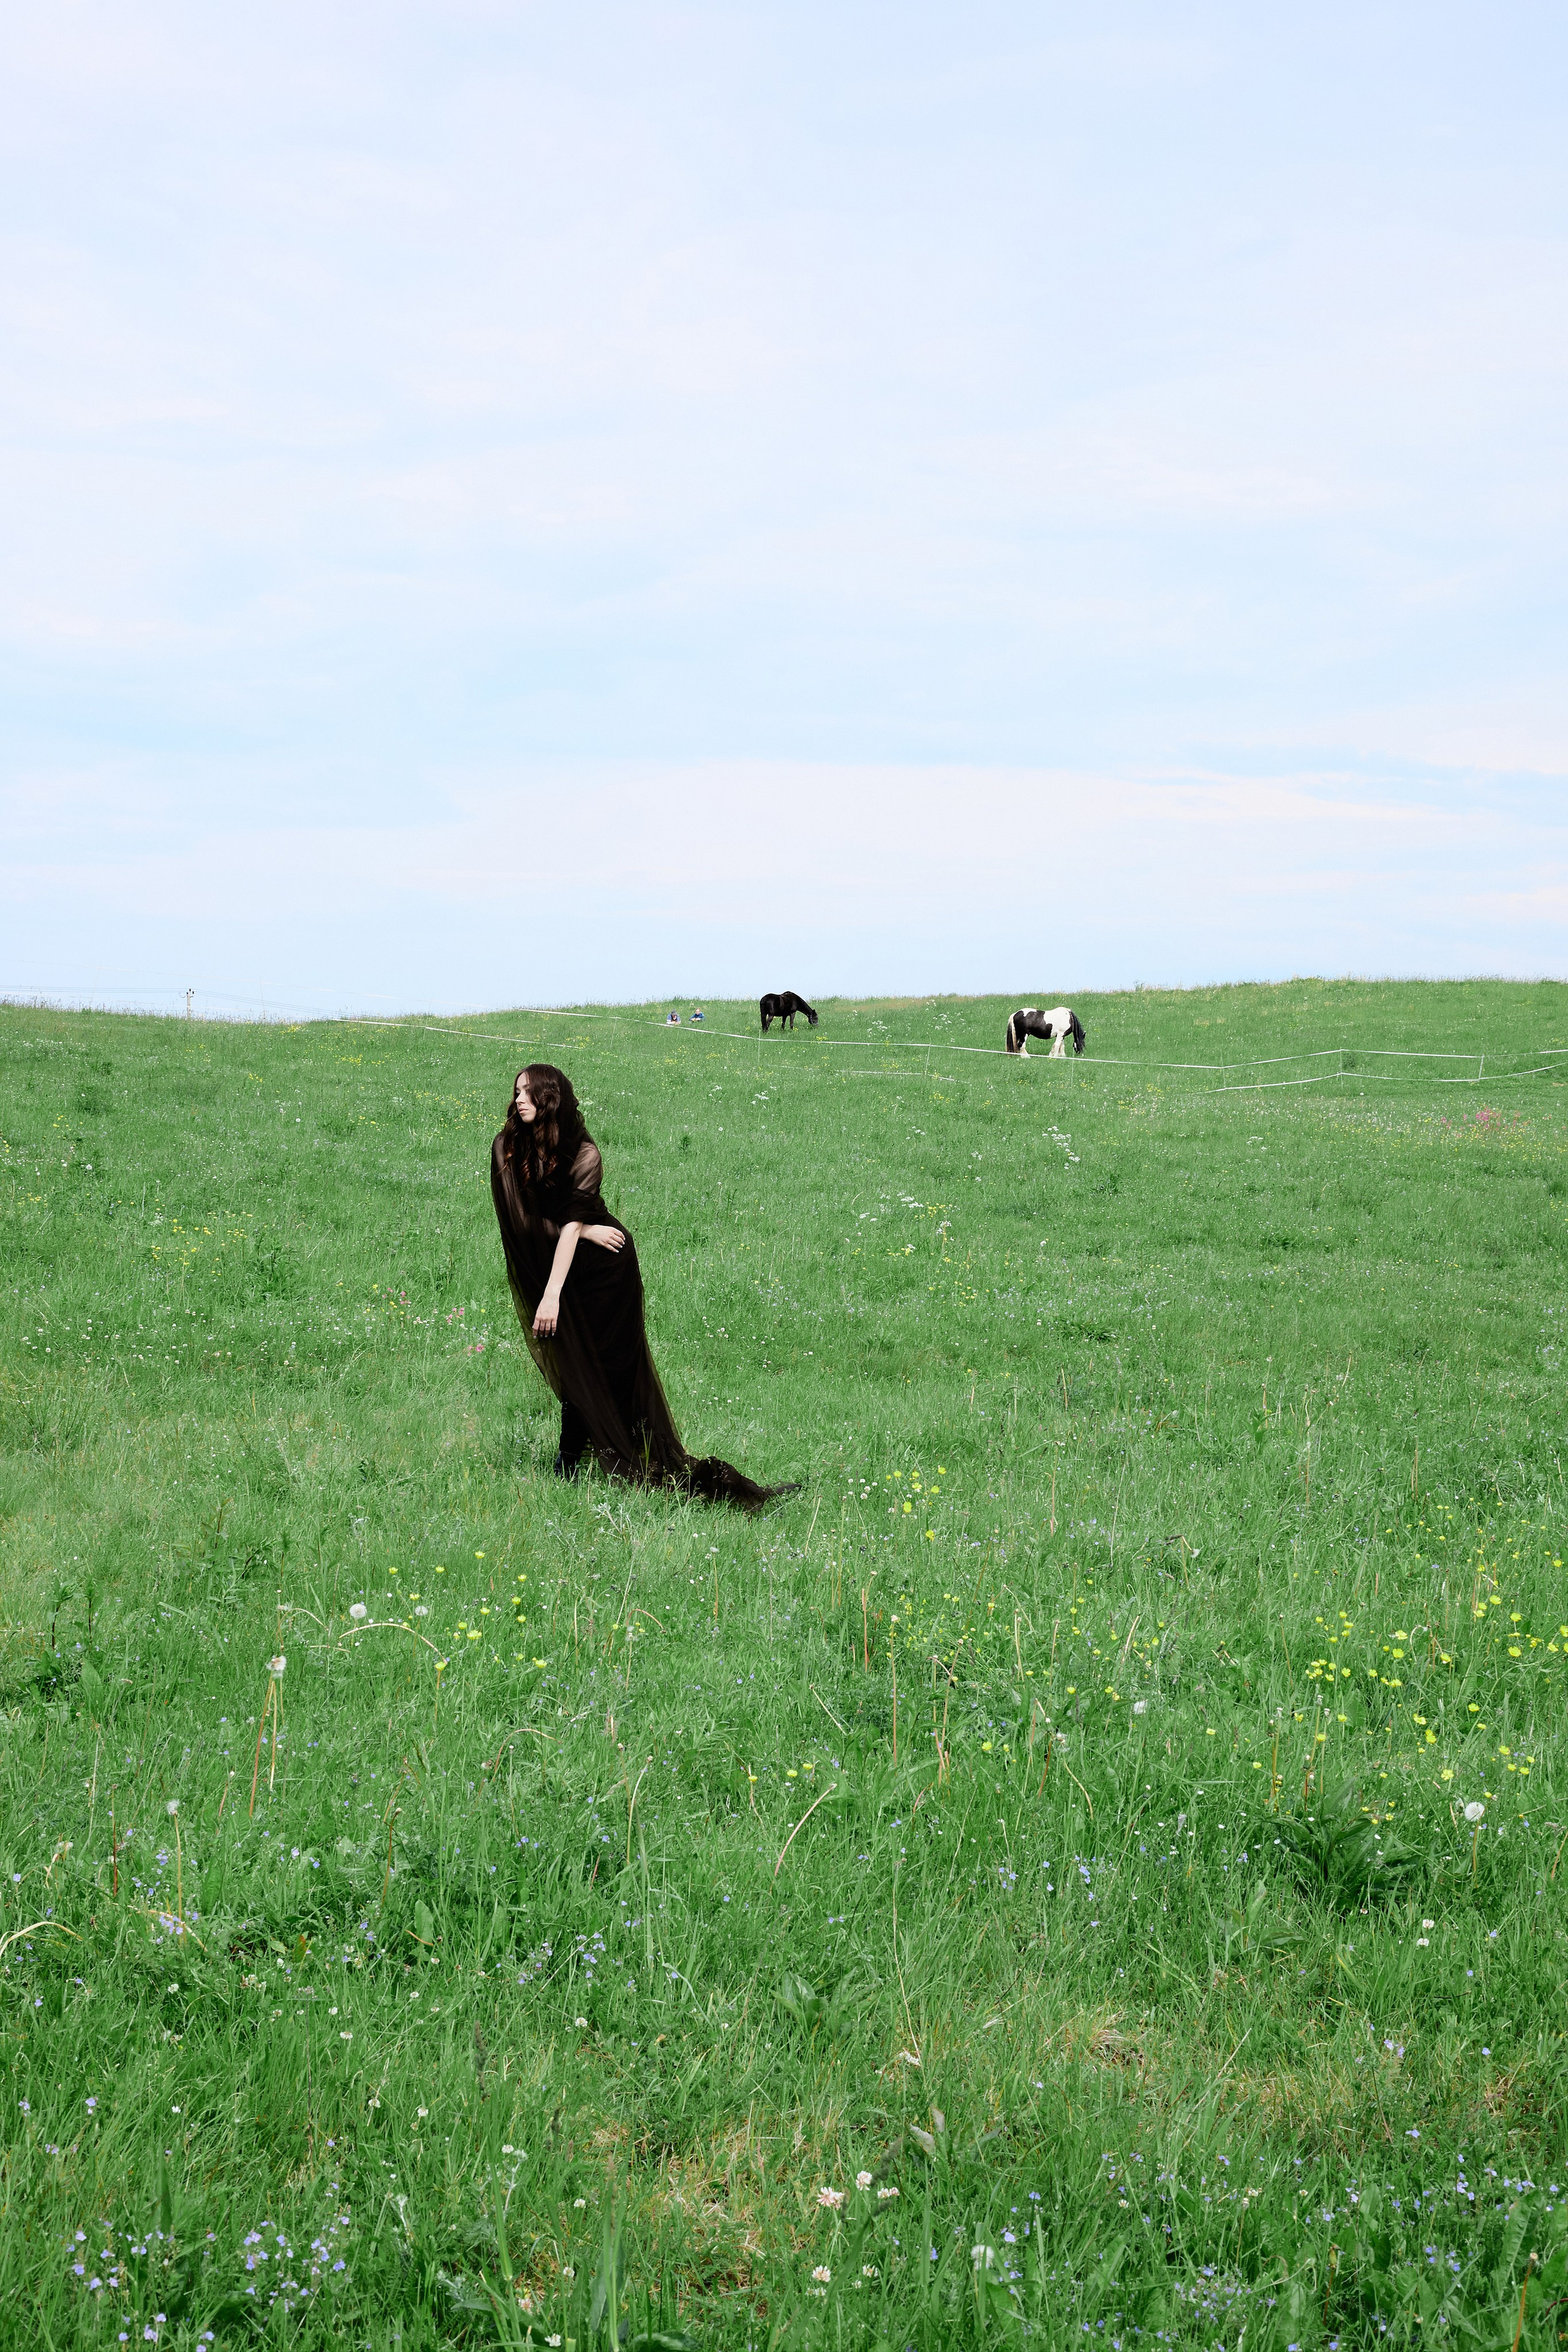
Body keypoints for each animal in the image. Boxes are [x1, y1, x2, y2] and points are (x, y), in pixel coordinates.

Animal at [1005, 1005, 1085, 1058]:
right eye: (1083, 1044)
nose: (1081, 1054)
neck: (1069, 1018)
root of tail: (1015, 1014)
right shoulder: (1061, 1034)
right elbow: (1057, 1045)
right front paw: (1054, 1056)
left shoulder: (1062, 1035)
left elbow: (1062, 1046)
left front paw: (1063, 1056)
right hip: (1024, 1034)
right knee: (1021, 1045)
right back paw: (1027, 1057)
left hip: (1018, 1034)